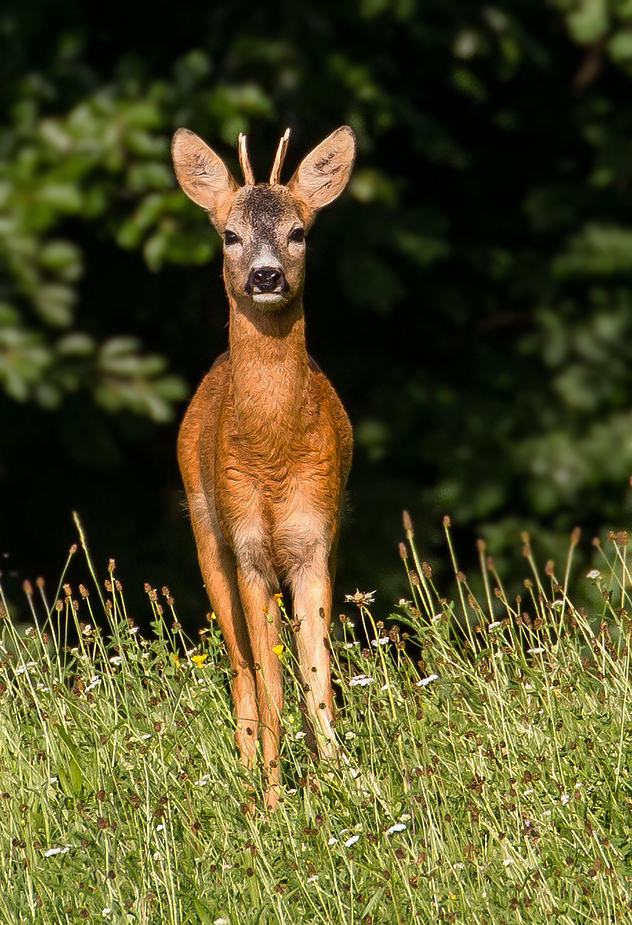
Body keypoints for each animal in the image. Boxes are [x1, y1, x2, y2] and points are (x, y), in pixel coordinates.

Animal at [172, 124, 356, 808]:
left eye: (299, 231)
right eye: (230, 234)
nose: (267, 273)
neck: (273, 457)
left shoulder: (314, 540)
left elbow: (315, 675)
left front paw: (347, 783)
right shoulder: (248, 547)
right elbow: (270, 678)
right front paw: (274, 802)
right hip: (207, 534)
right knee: (240, 667)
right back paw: (249, 774)